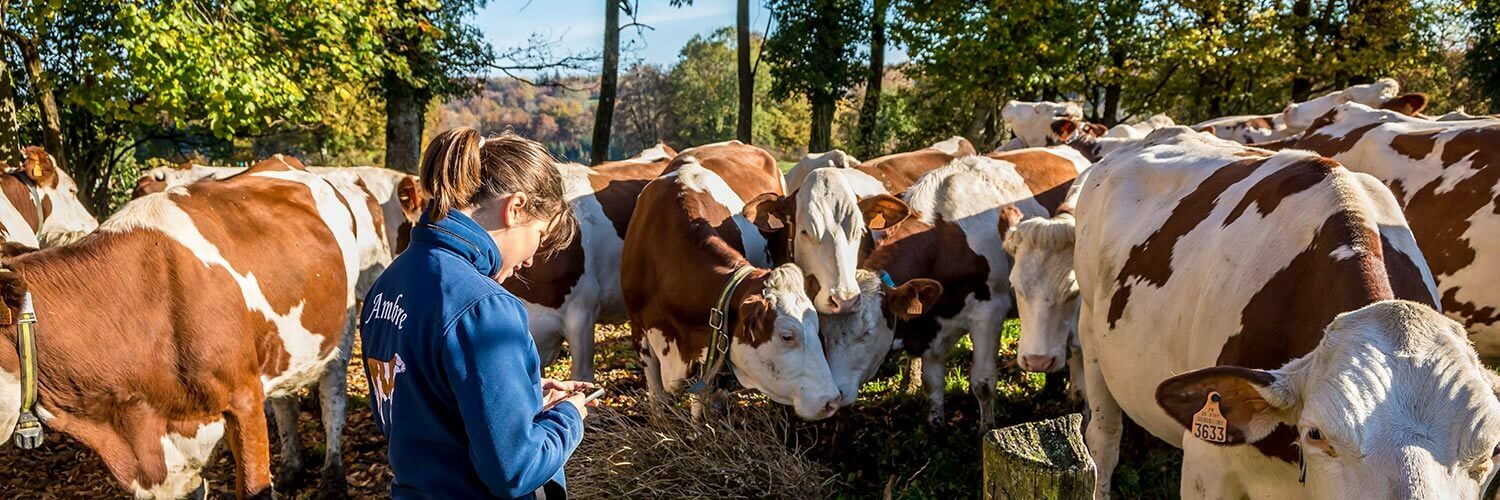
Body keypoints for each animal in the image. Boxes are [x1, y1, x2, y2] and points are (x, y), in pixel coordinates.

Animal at [0, 154, 387, 495]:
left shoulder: (244, 399)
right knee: (285, 402)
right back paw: (292, 467)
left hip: (342, 323)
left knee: (332, 396)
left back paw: (333, 475)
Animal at [615, 138, 840, 417]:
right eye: (787, 336)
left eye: (816, 326)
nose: (833, 400)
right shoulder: (639, 331)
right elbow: (657, 399)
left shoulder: (711, 343)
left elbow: (700, 403)